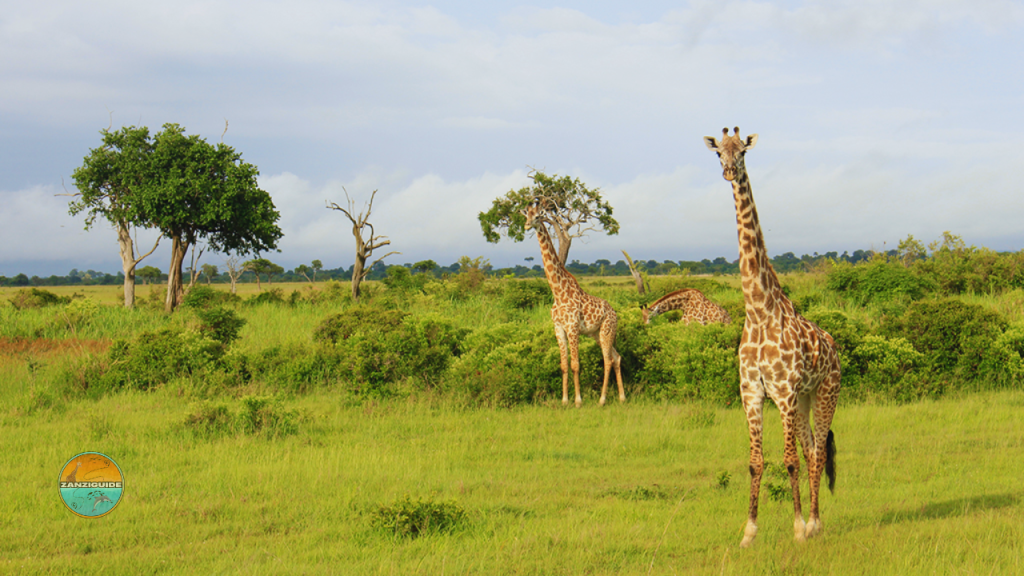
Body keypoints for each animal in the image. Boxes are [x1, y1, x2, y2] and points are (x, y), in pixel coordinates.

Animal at [524, 199, 626, 405]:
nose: (527, 225)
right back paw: (622, 397)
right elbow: (564, 365)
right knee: (617, 357)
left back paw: (602, 400)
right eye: (526, 215)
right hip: (597, 333)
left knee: (608, 360)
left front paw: (578, 400)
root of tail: (614, 312)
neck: (557, 292)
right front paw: (564, 400)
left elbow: (576, 364)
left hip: (606, 330)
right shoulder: (559, 328)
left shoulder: (572, 327)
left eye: (537, 216)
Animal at [704, 127, 839, 545]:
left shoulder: (783, 393)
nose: (729, 172)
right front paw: (749, 532)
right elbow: (755, 462)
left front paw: (796, 528)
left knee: (817, 452)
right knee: (812, 450)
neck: (758, 310)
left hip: (825, 393)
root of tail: (835, 349)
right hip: (806, 399)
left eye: (743, 152)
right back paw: (813, 521)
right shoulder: (751, 393)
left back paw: (815, 523)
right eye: (719, 153)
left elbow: (789, 461)